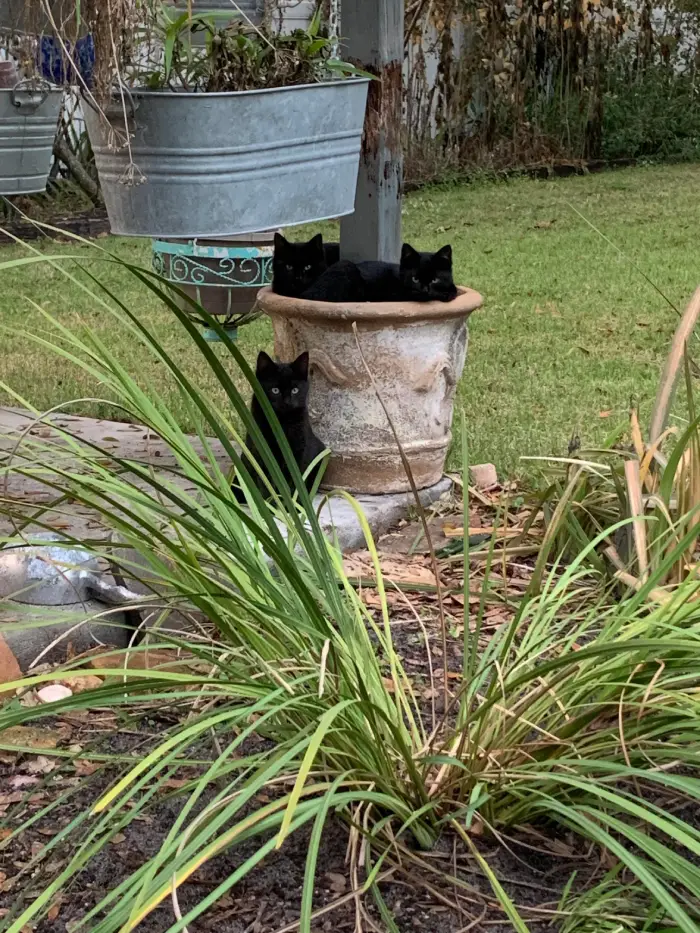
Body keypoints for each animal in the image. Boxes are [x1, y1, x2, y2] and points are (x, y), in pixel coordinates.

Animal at [232, 350, 326, 498]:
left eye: (295, 390)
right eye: (275, 390)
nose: (287, 402)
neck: (280, 423)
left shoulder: (299, 451)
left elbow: (296, 481)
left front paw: (294, 502)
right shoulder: (260, 452)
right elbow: (265, 483)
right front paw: (270, 501)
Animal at [298, 244, 456, 302]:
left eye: (435, 280)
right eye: (415, 279)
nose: (425, 290)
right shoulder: (396, 295)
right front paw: (444, 295)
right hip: (345, 266)